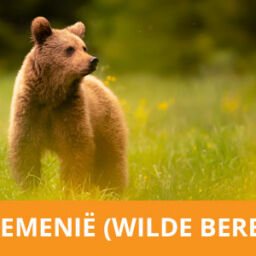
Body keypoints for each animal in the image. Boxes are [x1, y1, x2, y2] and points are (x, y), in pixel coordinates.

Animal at [8, 16, 128, 192]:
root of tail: (104, 86)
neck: (51, 94)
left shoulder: (69, 110)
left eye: (84, 47)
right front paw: (31, 187)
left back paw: (114, 189)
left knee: (112, 159)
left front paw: (72, 186)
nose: (93, 60)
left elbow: (75, 150)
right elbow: (26, 149)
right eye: (70, 49)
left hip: (106, 125)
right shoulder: (30, 110)